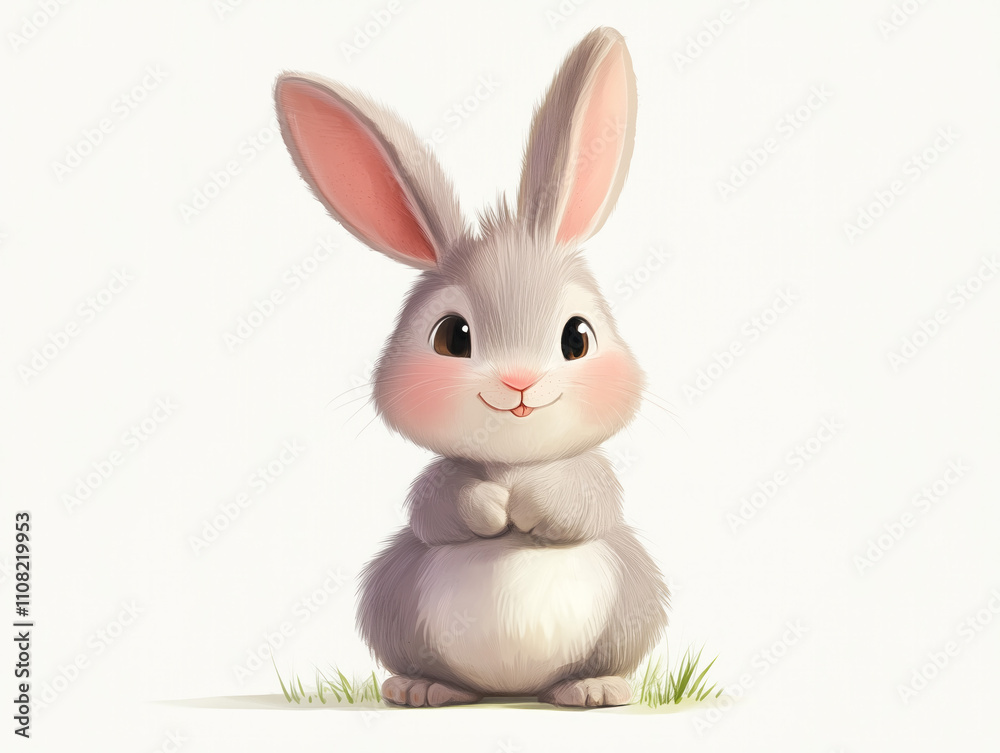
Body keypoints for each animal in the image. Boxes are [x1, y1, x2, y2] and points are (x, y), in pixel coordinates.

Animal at [273, 26, 669, 708]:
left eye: (577, 337)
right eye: (452, 336)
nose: (519, 383)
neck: (510, 463)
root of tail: (516, 690)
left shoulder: (595, 479)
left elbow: (585, 499)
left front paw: (531, 504)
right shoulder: (435, 486)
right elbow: (438, 506)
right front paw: (489, 506)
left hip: (633, 602)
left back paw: (594, 687)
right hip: (392, 598)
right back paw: (423, 688)